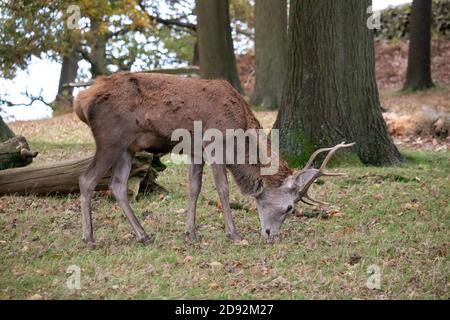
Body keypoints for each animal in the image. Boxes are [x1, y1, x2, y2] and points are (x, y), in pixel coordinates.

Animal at [74, 72, 356, 248]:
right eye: (289, 208)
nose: (270, 236)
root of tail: (80, 100)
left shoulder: (195, 151)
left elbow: (194, 188)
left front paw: (191, 234)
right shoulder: (214, 146)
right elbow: (222, 188)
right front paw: (233, 233)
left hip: (127, 148)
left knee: (118, 185)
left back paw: (143, 235)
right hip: (111, 139)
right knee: (86, 179)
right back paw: (89, 238)